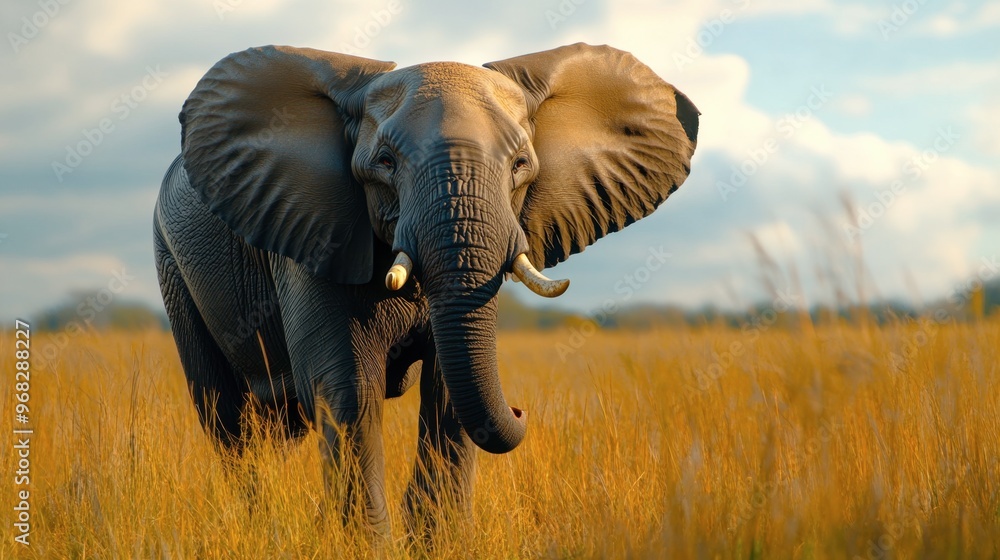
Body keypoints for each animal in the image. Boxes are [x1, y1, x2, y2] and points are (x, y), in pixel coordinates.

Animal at [153, 42, 698, 535]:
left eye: (520, 164)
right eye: (386, 162)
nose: (521, 408)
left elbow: (447, 390)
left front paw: (440, 539)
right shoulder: (314, 235)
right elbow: (349, 389)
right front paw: (363, 542)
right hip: (172, 264)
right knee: (228, 421)